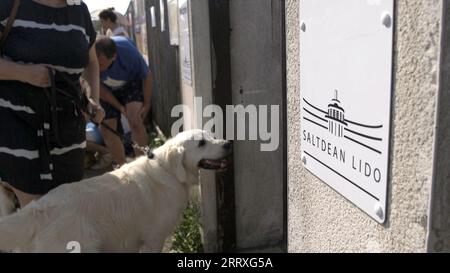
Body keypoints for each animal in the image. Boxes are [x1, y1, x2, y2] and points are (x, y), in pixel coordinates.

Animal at [0, 129, 232, 252]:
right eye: (201, 143)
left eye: (212, 136)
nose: (228, 143)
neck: (169, 171)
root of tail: (38, 210)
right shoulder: (154, 237)